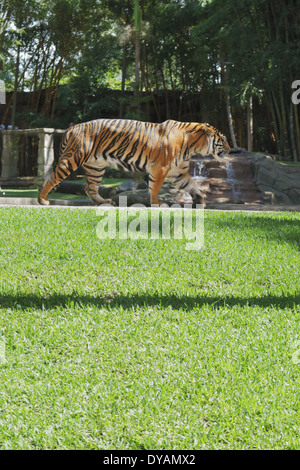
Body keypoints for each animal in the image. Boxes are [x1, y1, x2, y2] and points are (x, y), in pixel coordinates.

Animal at [37, 118, 230, 207]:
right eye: (223, 139)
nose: (229, 149)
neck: (193, 146)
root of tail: (73, 127)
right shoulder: (161, 169)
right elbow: (154, 188)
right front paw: (156, 204)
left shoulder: (178, 173)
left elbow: (193, 186)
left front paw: (201, 201)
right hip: (73, 158)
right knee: (52, 178)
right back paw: (42, 200)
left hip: (95, 167)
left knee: (89, 188)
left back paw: (104, 201)